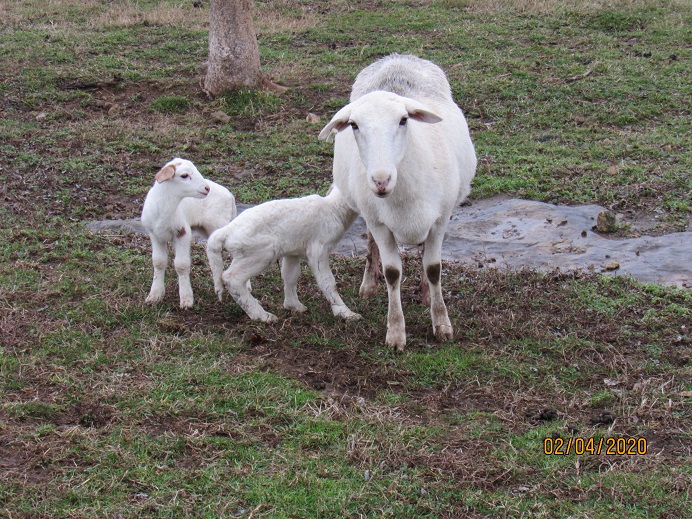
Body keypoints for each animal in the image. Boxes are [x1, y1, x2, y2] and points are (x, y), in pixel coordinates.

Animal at [141, 158, 236, 309]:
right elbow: (158, 262)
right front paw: (155, 296)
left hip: (219, 224)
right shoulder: (155, 234)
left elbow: (181, 265)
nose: (207, 188)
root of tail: (230, 196)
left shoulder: (183, 232)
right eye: (184, 175)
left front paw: (186, 300)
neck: (165, 208)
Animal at [206, 185, 361, 323]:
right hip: (262, 253)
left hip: (245, 256)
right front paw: (346, 313)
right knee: (231, 278)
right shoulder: (318, 250)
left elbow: (290, 276)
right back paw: (262, 316)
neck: (334, 208)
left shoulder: (293, 252)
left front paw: (294, 306)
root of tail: (224, 232)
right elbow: (328, 282)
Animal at [318, 54, 477, 351]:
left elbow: (434, 268)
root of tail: (397, 58)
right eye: (354, 125)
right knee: (371, 243)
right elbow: (392, 273)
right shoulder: (379, 222)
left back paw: (425, 293)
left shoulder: (440, 219)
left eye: (404, 120)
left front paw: (441, 324)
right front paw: (395, 333)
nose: (381, 180)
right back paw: (369, 283)